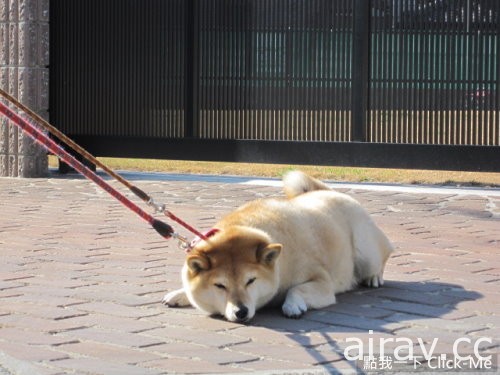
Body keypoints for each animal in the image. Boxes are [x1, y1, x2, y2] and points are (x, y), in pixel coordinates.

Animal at [162, 172, 392, 322]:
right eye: (220, 285)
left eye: (251, 281)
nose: (241, 311)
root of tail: (329, 192)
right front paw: (180, 293)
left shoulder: (321, 280)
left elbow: (296, 289)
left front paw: (292, 304)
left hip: (366, 251)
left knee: (381, 258)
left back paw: (373, 277)